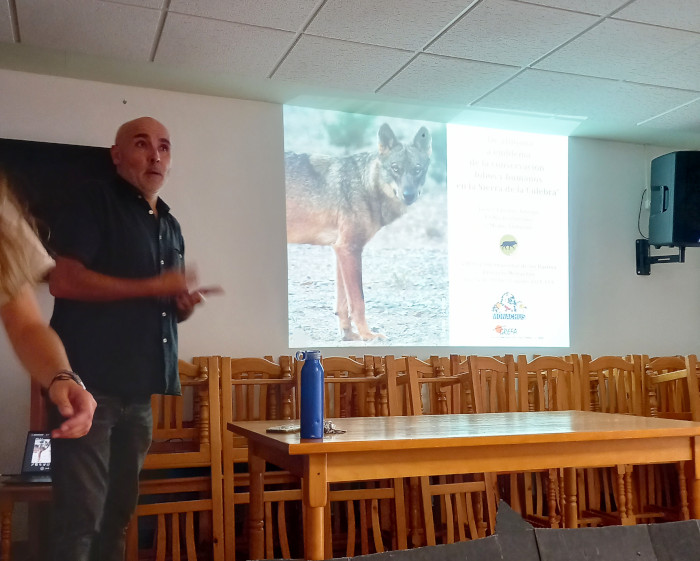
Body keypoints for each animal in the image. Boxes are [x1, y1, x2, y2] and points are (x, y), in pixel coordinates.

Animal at [286, 122, 432, 340]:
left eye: (417, 169)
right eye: (395, 168)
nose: (409, 195)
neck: (366, 185)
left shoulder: (340, 249)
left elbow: (343, 303)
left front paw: (348, 335)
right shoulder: (349, 248)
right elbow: (358, 302)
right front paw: (368, 335)